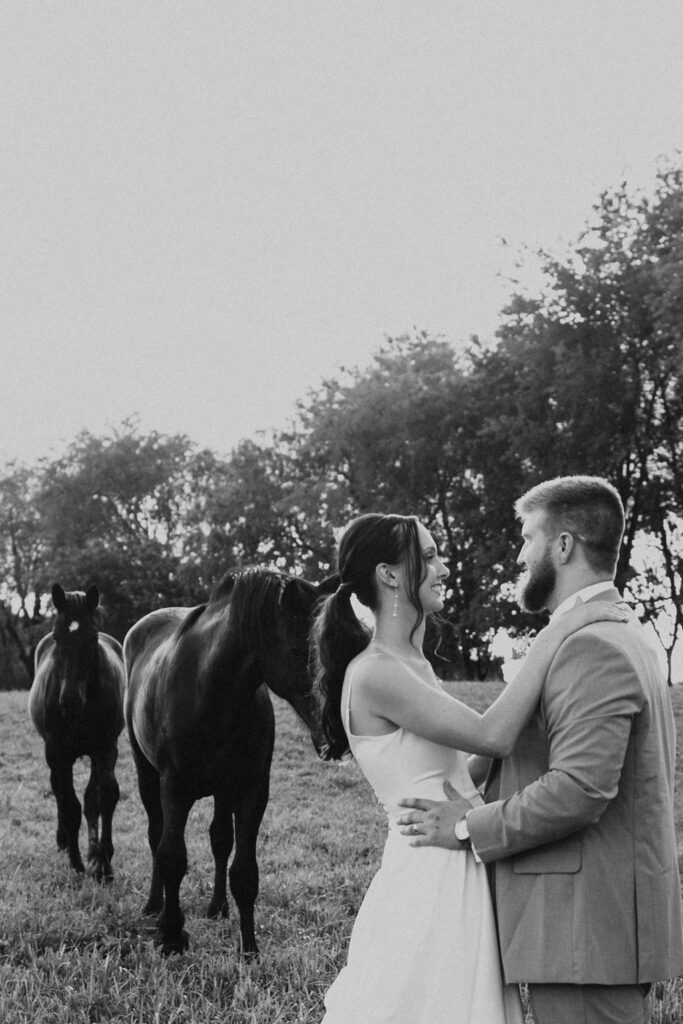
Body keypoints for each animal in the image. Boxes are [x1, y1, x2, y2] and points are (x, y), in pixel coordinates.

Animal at [28, 585, 125, 880]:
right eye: (57, 636)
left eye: (91, 637)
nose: (70, 701)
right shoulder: (58, 753)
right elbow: (69, 805)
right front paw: (76, 861)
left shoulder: (106, 748)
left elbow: (104, 796)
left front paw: (103, 862)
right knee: (60, 793)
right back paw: (64, 841)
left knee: (90, 800)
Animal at [124, 569, 337, 958]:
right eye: (299, 651)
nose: (336, 735)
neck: (211, 690)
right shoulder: (173, 787)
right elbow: (172, 855)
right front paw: (170, 936)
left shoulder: (252, 790)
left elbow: (244, 871)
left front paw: (249, 947)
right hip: (146, 773)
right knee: (155, 834)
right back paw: (154, 904)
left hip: (223, 791)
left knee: (220, 839)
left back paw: (218, 907)